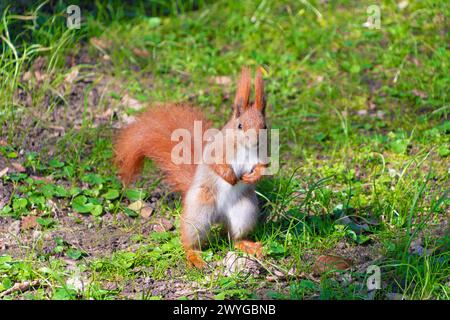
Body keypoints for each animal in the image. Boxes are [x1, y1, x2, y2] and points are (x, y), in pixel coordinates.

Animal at [114, 67, 268, 268]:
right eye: (240, 125)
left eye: (264, 126)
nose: (255, 140)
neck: (245, 148)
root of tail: (220, 217)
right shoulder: (215, 150)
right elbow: (215, 163)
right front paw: (229, 176)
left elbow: (263, 167)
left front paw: (253, 177)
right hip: (199, 211)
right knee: (189, 240)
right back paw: (194, 256)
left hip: (244, 211)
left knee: (234, 237)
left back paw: (247, 245)